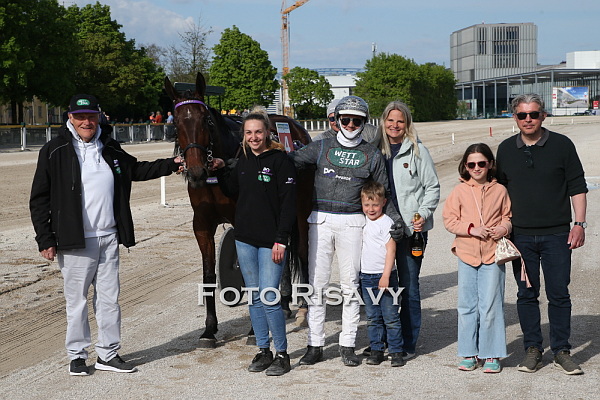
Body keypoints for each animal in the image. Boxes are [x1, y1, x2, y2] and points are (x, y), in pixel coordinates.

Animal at [164, 72, 313, 348]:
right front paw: (209, 329)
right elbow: (208, 274)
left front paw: (255, 331)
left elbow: (250, 272)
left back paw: (305, 306)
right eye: (176, 124)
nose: (197, 171)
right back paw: (285, 302)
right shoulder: (202, 224)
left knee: (303, 251)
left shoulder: (245, 222)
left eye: (206, 121)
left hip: (299, 207)